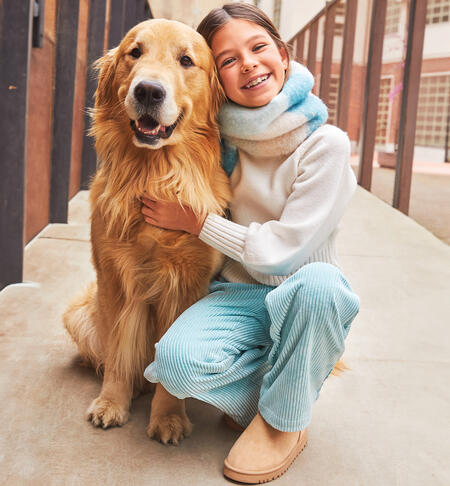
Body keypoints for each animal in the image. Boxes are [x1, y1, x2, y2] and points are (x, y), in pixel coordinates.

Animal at [62, 19, 230, 444]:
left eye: (186, 60)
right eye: (134, 53)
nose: (149, 90)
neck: (153, 175)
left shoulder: (187, 282)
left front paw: (168, 416)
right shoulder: (115, 276)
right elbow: (118, 351)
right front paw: (112, 403)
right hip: (76, 312)